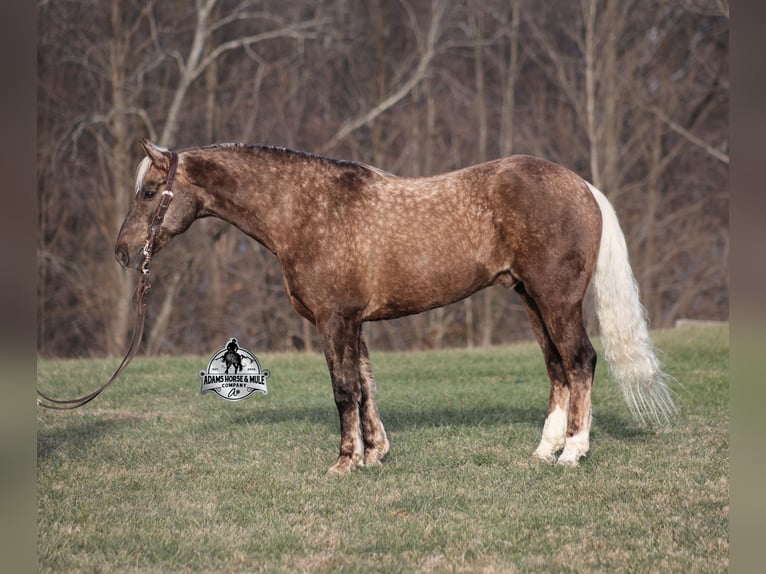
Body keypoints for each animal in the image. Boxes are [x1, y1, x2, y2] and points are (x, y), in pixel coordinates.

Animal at [115, 140, 675, 473]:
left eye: (149, 192)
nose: (123, 252)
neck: (307, 211)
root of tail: (583, 187)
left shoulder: (334, 320)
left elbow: (344, 389)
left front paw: (345, 463)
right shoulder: (353, 322)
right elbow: (365, 385)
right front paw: (375, 454)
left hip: (557, 300)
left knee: (580, 362)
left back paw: (572, 453)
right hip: (531, 300)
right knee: (557, 368)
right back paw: (544, 450)